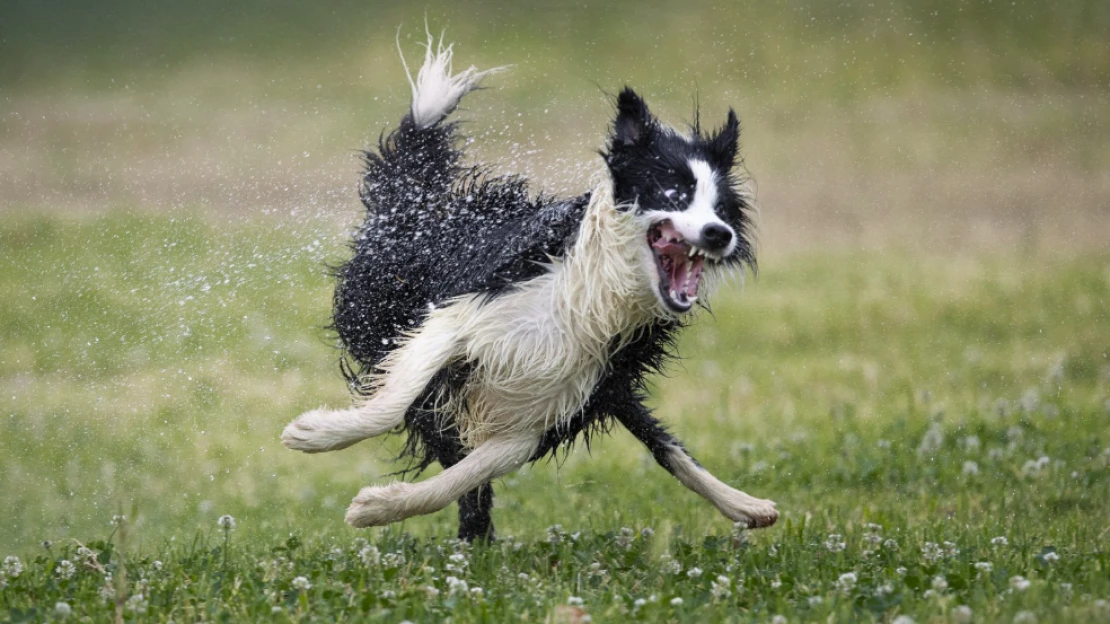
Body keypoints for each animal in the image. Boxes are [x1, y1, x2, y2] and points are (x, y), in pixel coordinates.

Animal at [281, 32, 777, 539]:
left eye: (722, 208)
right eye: (674, 193)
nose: (719, 234)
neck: (595, 294)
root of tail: (421, 205)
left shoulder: (552, 406)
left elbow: (469, 472)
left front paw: (379, 506)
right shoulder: (462, 314)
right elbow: (395, 400)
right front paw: (316, 433)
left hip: (604, 388)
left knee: (662, 443)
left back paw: (747, 505)